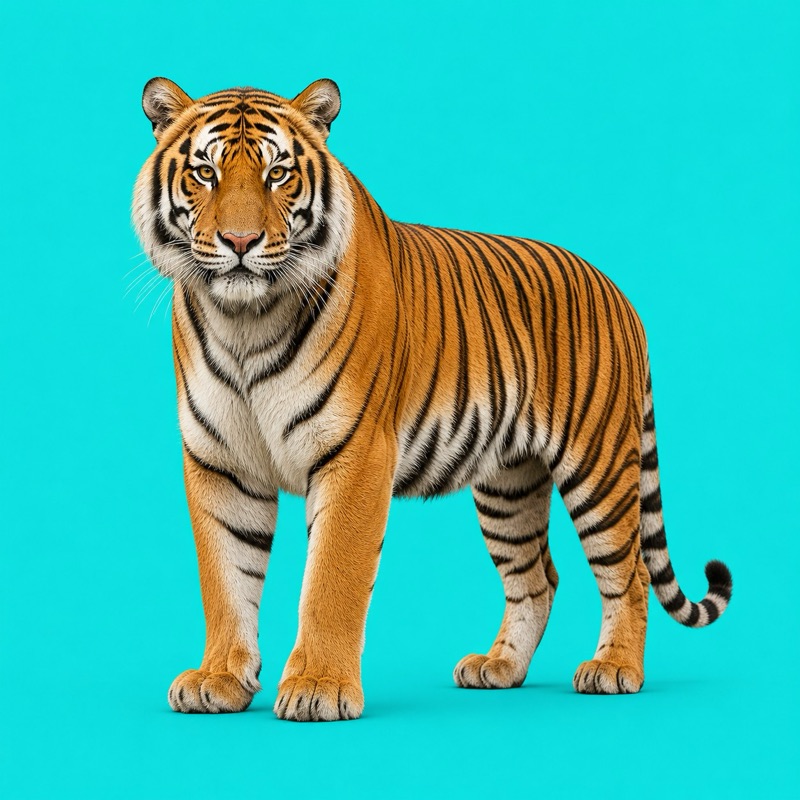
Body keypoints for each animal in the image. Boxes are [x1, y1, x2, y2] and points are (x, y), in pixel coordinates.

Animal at [132, 77, 732, 722]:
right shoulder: (221, 462)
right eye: (205, 172)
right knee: (537, 578)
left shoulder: (356, 455)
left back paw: (615, 669)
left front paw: (318, 686)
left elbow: (331, 582)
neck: (244, 321)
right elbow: (225, 578)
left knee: (631, 572)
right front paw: (218, 679)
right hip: (508, 484)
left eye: (278, 174)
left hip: (598, 467)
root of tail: (620, 294)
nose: (240, 241)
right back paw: (498, 668)